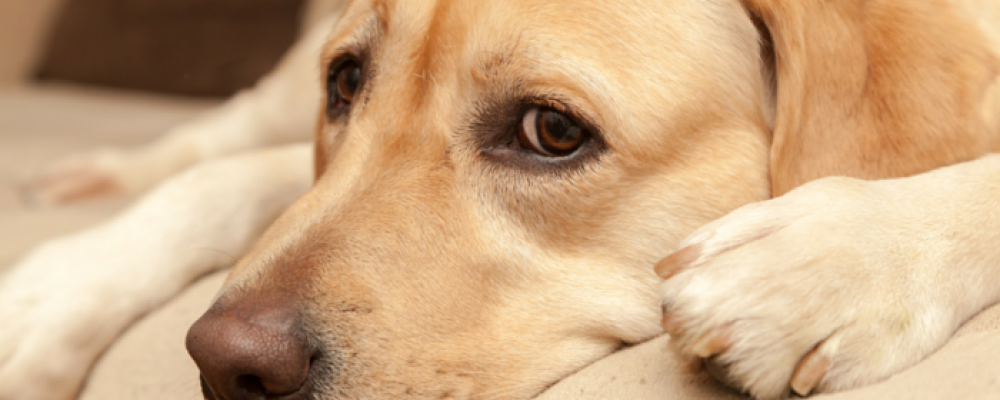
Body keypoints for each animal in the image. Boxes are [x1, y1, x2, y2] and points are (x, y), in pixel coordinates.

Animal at [2, 0, 1000, 399]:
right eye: (348, 82)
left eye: (552, 132)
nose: (225, 365)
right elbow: (244, 176)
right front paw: (56, 293)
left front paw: (835, 254)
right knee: (235, 122)